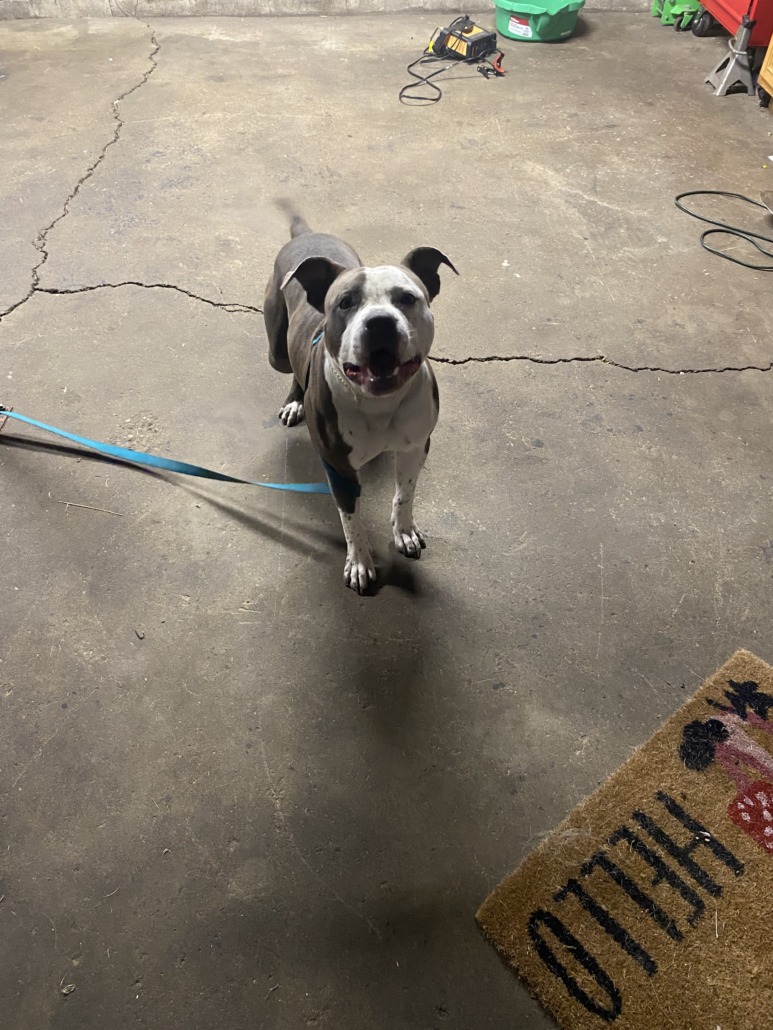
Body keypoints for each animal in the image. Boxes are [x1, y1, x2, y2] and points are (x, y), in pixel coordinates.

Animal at [263, 203, 457, 594]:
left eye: (407, 298)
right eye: (345, 302)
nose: (380, 322)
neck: (379, 404)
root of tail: (307, 235)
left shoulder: (416, 447)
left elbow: (404, 493)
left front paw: (404, 531)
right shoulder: (338, 466)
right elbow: (350, 518)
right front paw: (359, 562)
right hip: (276, 350)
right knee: (289, 364)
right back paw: (294, 400)